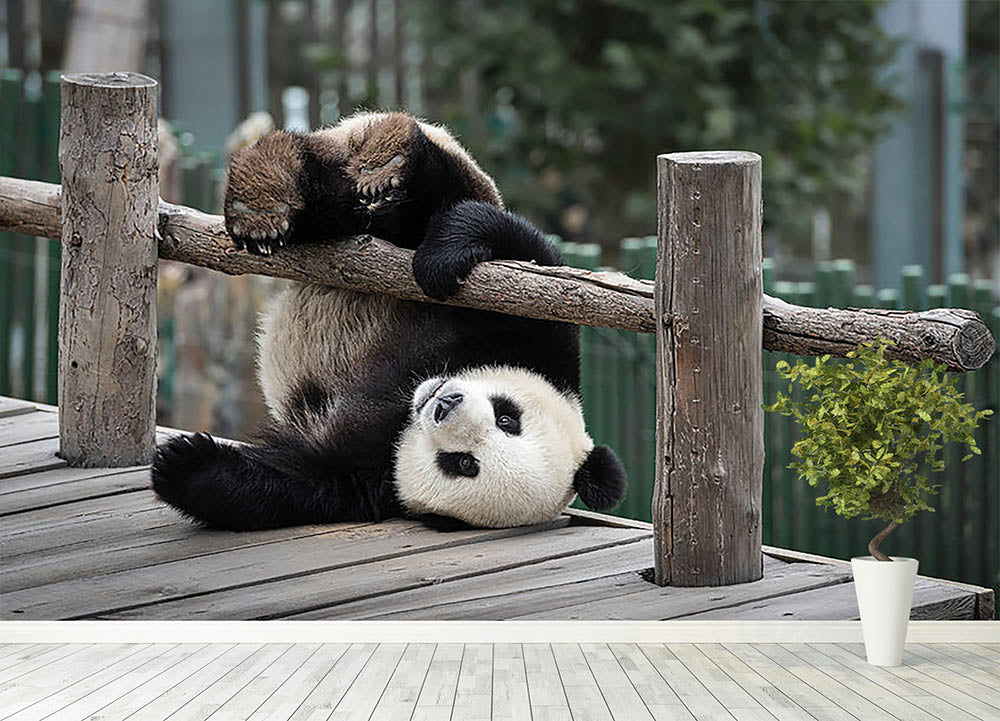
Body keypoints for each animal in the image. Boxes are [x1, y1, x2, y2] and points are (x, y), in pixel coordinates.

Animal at [151, 111, 626, 531]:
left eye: (463, 464)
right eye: (508, 417)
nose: (444, 403)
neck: (405, 404)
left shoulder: (372, 478)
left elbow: (294, 482)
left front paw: (183, 465)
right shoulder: (542, 341)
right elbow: (520, 253)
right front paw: (441, 261)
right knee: (413, 195)